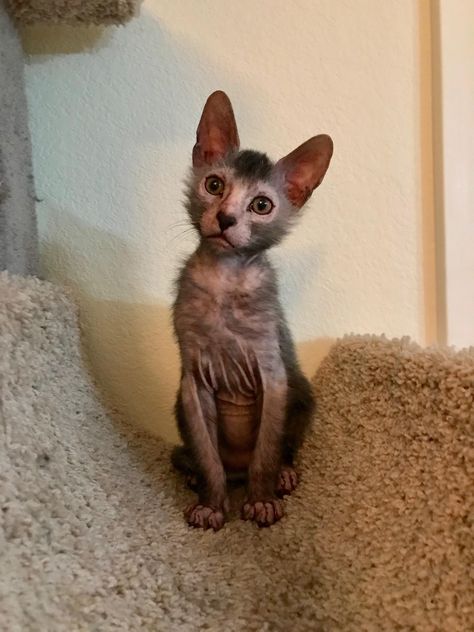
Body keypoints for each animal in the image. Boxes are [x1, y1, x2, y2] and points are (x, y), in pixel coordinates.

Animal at [171, 91, 334, 532]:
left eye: (261, 205)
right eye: (214, 185)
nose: (226, 218)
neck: (226, 281)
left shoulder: (272, 373)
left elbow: (267, 450)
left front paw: (261, 502)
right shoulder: (193, 381)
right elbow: (208, 458)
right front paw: (211, 505)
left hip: (302, 391)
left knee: (280, 451)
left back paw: (283, 476)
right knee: (200, 459)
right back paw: (194, 474)